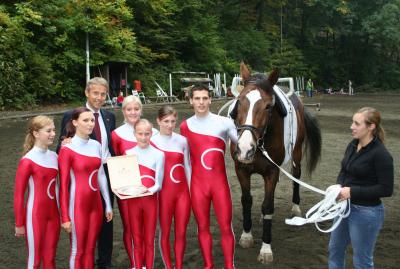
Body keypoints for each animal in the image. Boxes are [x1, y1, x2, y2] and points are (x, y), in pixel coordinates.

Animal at [228, 62, 322, 262]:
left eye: (268, 106)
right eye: (239, 101)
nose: (245, 148)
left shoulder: (272, 171)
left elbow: (267, 206)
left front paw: (265, 249)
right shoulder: (241, 168)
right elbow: (246, 201)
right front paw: (246, 236)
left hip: (296, 154)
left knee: (296, 177)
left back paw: (295, 209)